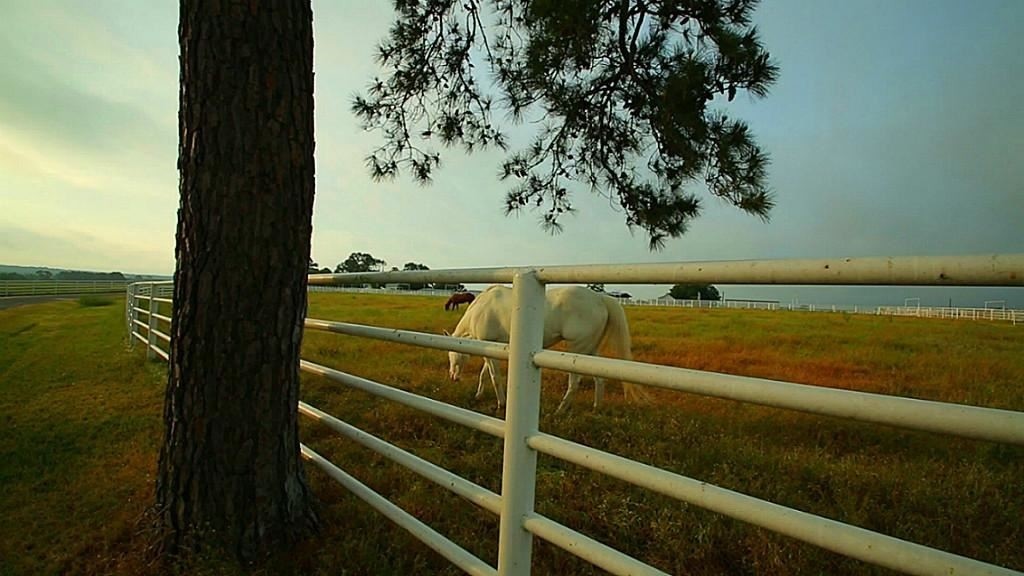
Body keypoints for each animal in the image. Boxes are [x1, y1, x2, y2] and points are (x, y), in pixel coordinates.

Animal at [442, 282, 647, 412]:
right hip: (590, 350)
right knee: (599, 378)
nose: (452, 377)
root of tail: (600, 298)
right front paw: (478, 395)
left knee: (575, 382)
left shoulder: (489, 347)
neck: (481, 309)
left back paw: (560, 410)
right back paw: (596, 408)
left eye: (452, 355)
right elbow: (485, 374)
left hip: (577, 348)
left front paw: (501, 404)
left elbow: (494, 377)